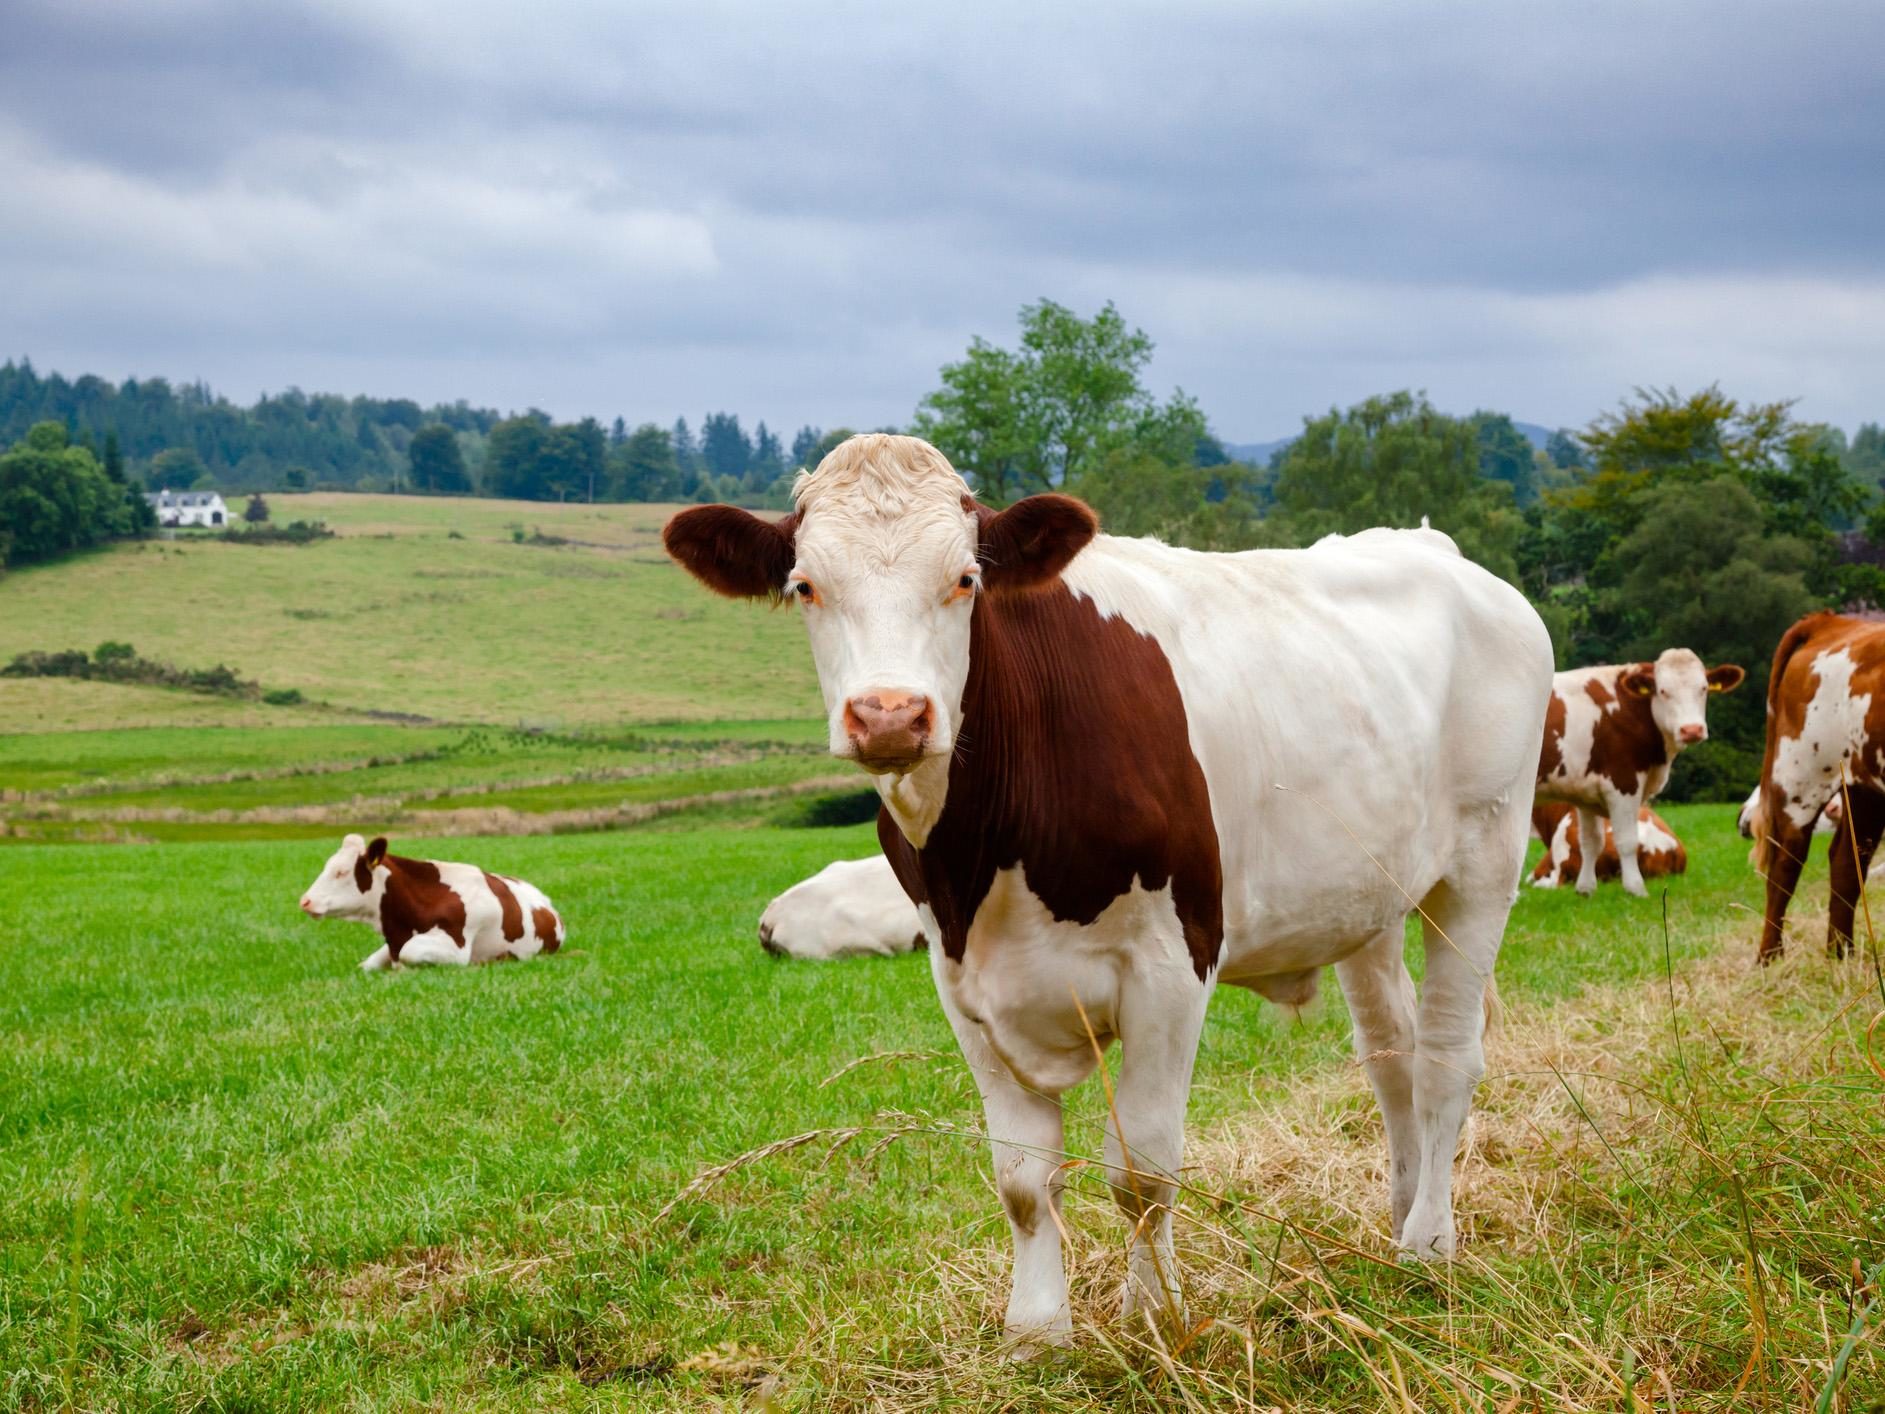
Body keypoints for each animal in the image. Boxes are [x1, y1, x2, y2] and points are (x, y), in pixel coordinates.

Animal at [1742, 611, 1885, 961]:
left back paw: (1840, 954)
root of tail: (1831, 622)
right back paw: (1770, 958)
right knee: (1783, 868)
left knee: (1847, 863)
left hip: (1865, 788)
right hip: (1800, 776)